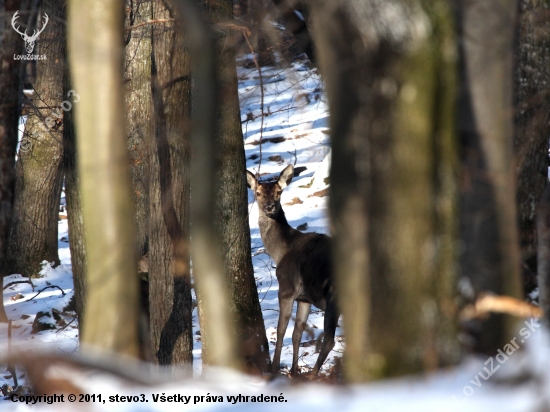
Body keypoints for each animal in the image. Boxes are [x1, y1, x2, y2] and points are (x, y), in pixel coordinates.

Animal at [248, 165, 338, 376]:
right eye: (257, 193)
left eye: (278, 192)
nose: (269, 206)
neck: (281, 251)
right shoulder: (304, 298)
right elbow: (297, 332)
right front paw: (294, 370)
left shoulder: (286, 288)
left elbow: (281, 329)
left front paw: (274, 368)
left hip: (334, 295)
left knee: (330, 340)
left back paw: (313, 376)